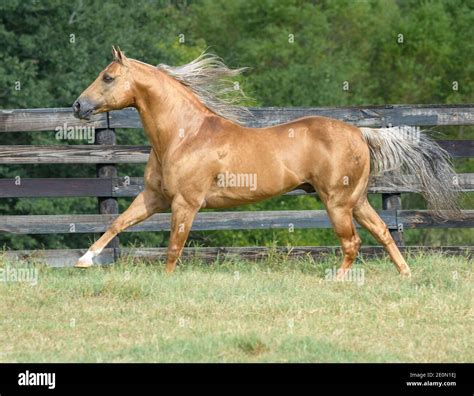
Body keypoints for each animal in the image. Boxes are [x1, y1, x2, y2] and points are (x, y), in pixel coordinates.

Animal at [73, 48, 460, 276]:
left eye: (108, 77)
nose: (78, 106)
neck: (185, 135)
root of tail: (360, 133)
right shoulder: (153, 198)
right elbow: (117, 223)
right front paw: (83, 260)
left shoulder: (185, 204)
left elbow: (172, 249)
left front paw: (167, 283)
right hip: (357, 200)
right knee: (381, 232)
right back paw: (406, 274)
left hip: (337, 203)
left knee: (352, 243)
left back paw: (336, 281)